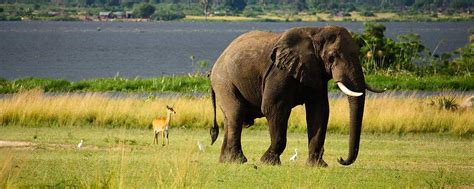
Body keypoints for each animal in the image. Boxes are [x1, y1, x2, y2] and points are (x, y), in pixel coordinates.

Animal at [209, 25, 384, 167]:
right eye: (332, 57)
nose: (341, 159)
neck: (316, 32)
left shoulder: (316, 72)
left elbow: (319, 111)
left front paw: (317, 165)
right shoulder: (279, 72)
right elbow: (274, 108)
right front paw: (268, 161)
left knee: (229, 118)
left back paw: (225, 160)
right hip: (224, 82)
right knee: (236, 113)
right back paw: (238, 160)